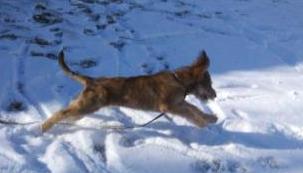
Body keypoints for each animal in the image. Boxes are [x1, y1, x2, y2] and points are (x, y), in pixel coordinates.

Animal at [42, 50, 218, 132]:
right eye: (209, 84)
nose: (215, 95)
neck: (179, 81)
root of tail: (91, 80)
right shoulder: (169, 106)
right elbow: (190, 112)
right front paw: (202, 123)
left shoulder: (179, 102)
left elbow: (194, 108)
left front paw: (210, 118)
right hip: (88, 105)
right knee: (61, 113)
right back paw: (43, 128)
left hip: (85, 105)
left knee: (68, 113)